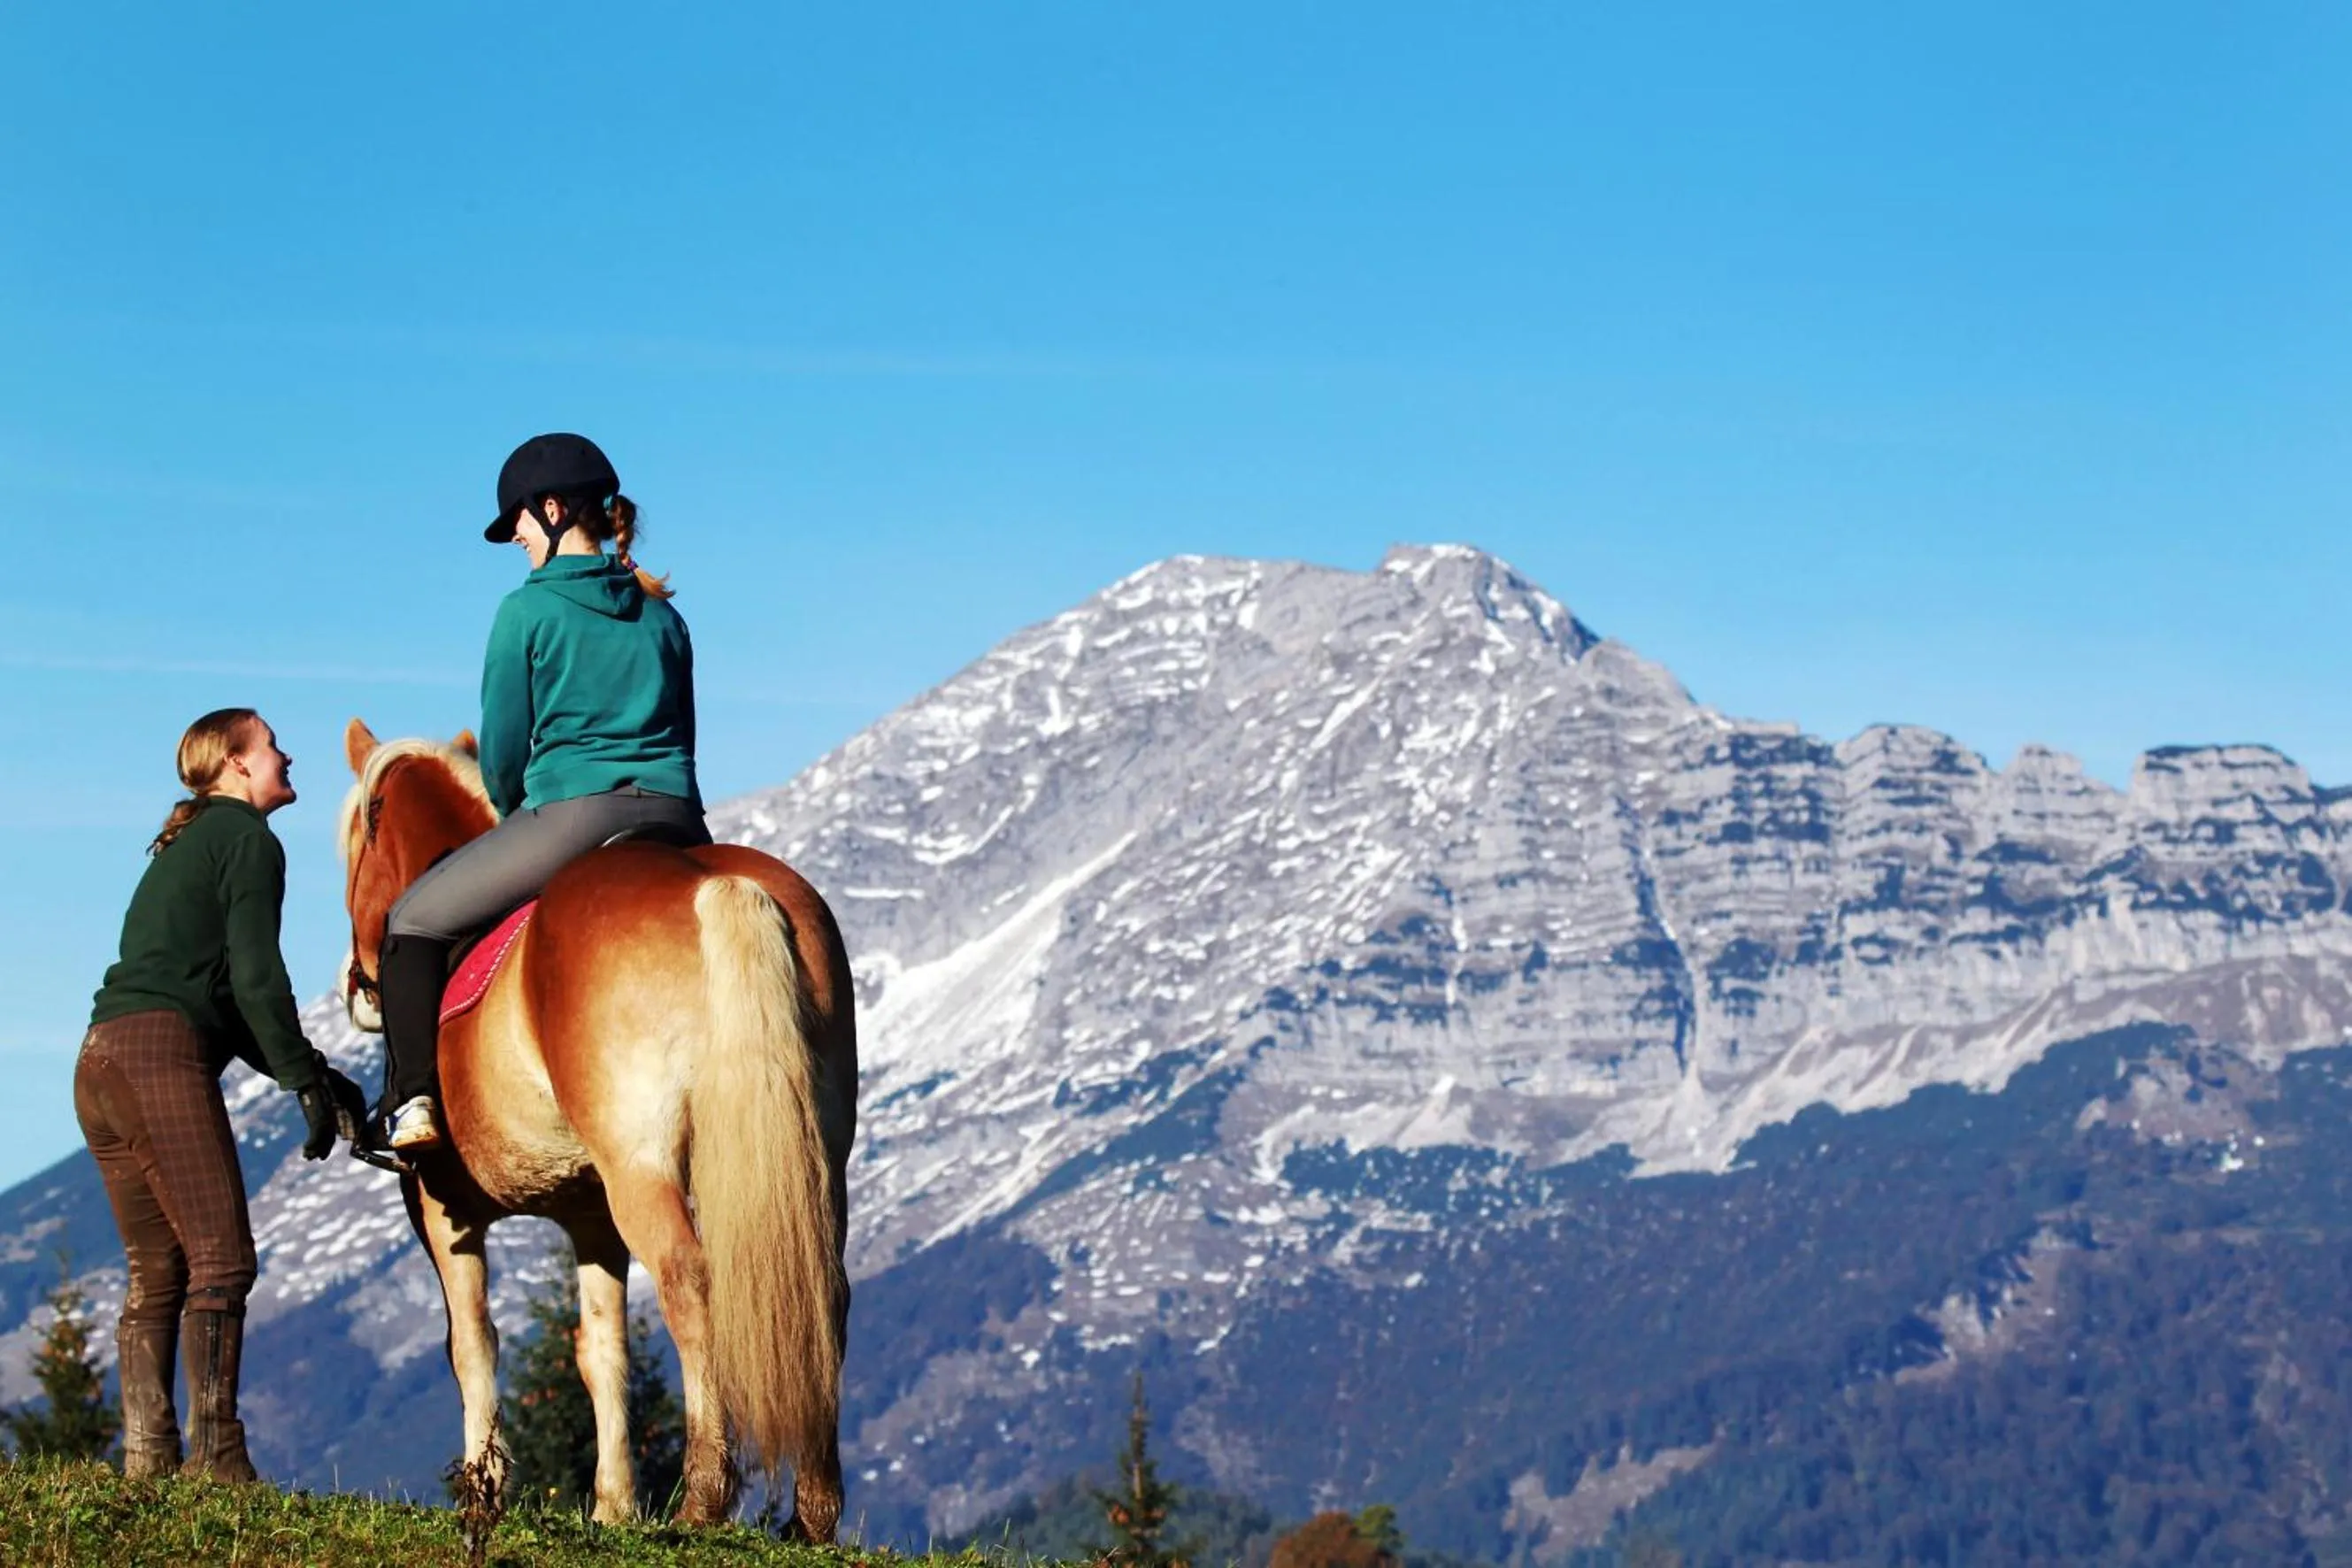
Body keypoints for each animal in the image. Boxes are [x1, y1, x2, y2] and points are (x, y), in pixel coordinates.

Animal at [333, 719, 856, 1535]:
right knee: (823, 1291)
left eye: (358, 837)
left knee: (690, 1282)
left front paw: (484, 1488)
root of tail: (719, 887)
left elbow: (472, 1343)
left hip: (642, 1169)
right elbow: (601, 1349)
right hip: (819, 1154)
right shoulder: (591, 1218)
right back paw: (814, 1511)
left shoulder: (441, 1211)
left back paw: (704, 1496)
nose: (355, 984)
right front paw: (613, 1505)